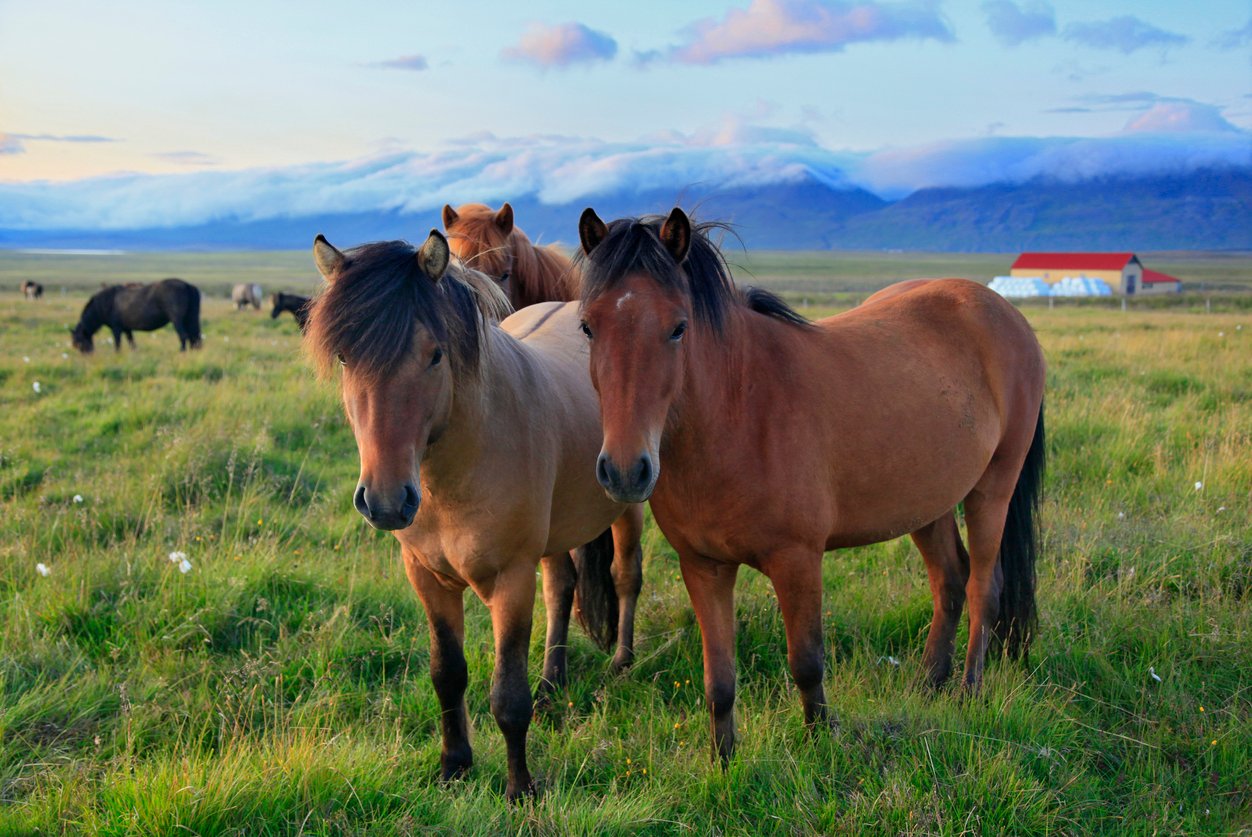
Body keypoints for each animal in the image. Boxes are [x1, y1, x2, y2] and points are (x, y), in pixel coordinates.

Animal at [71, 278, 202, 353]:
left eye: (79, 341)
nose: (87, 355)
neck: (105, 303)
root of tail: (187, 285)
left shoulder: (116, 328)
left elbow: (117, 344)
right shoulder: (127, 329)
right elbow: (132, 343)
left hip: (177, 320)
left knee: (184, 336)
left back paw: (182, 352)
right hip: (189, 319)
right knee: (194, 338)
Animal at [306, 230, 645, 800]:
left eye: (434, 355)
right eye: (346, 357)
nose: (386, 501)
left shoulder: (511, 580)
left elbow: (508, 696)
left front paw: (520, 789)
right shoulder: (427, 578)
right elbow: (448, 674)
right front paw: (454, 766)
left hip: (630, 498)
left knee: (625, 575)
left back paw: (622, 662)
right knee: (562, 588)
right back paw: (552, 684)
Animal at [576, 208, 1046, 764]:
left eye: (678, 328)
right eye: (587, 326)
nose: (627, 470)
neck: (739, 413)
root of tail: (1002, 311)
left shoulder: (797, 561)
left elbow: (806, 662)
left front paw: (822, 741)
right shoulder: (704, 567)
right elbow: (719, 680)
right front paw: (724, 762)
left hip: (992, 489)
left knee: (983, 588)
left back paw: (969, 689)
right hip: (927, 504)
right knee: (949, 581)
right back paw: (930, 682)